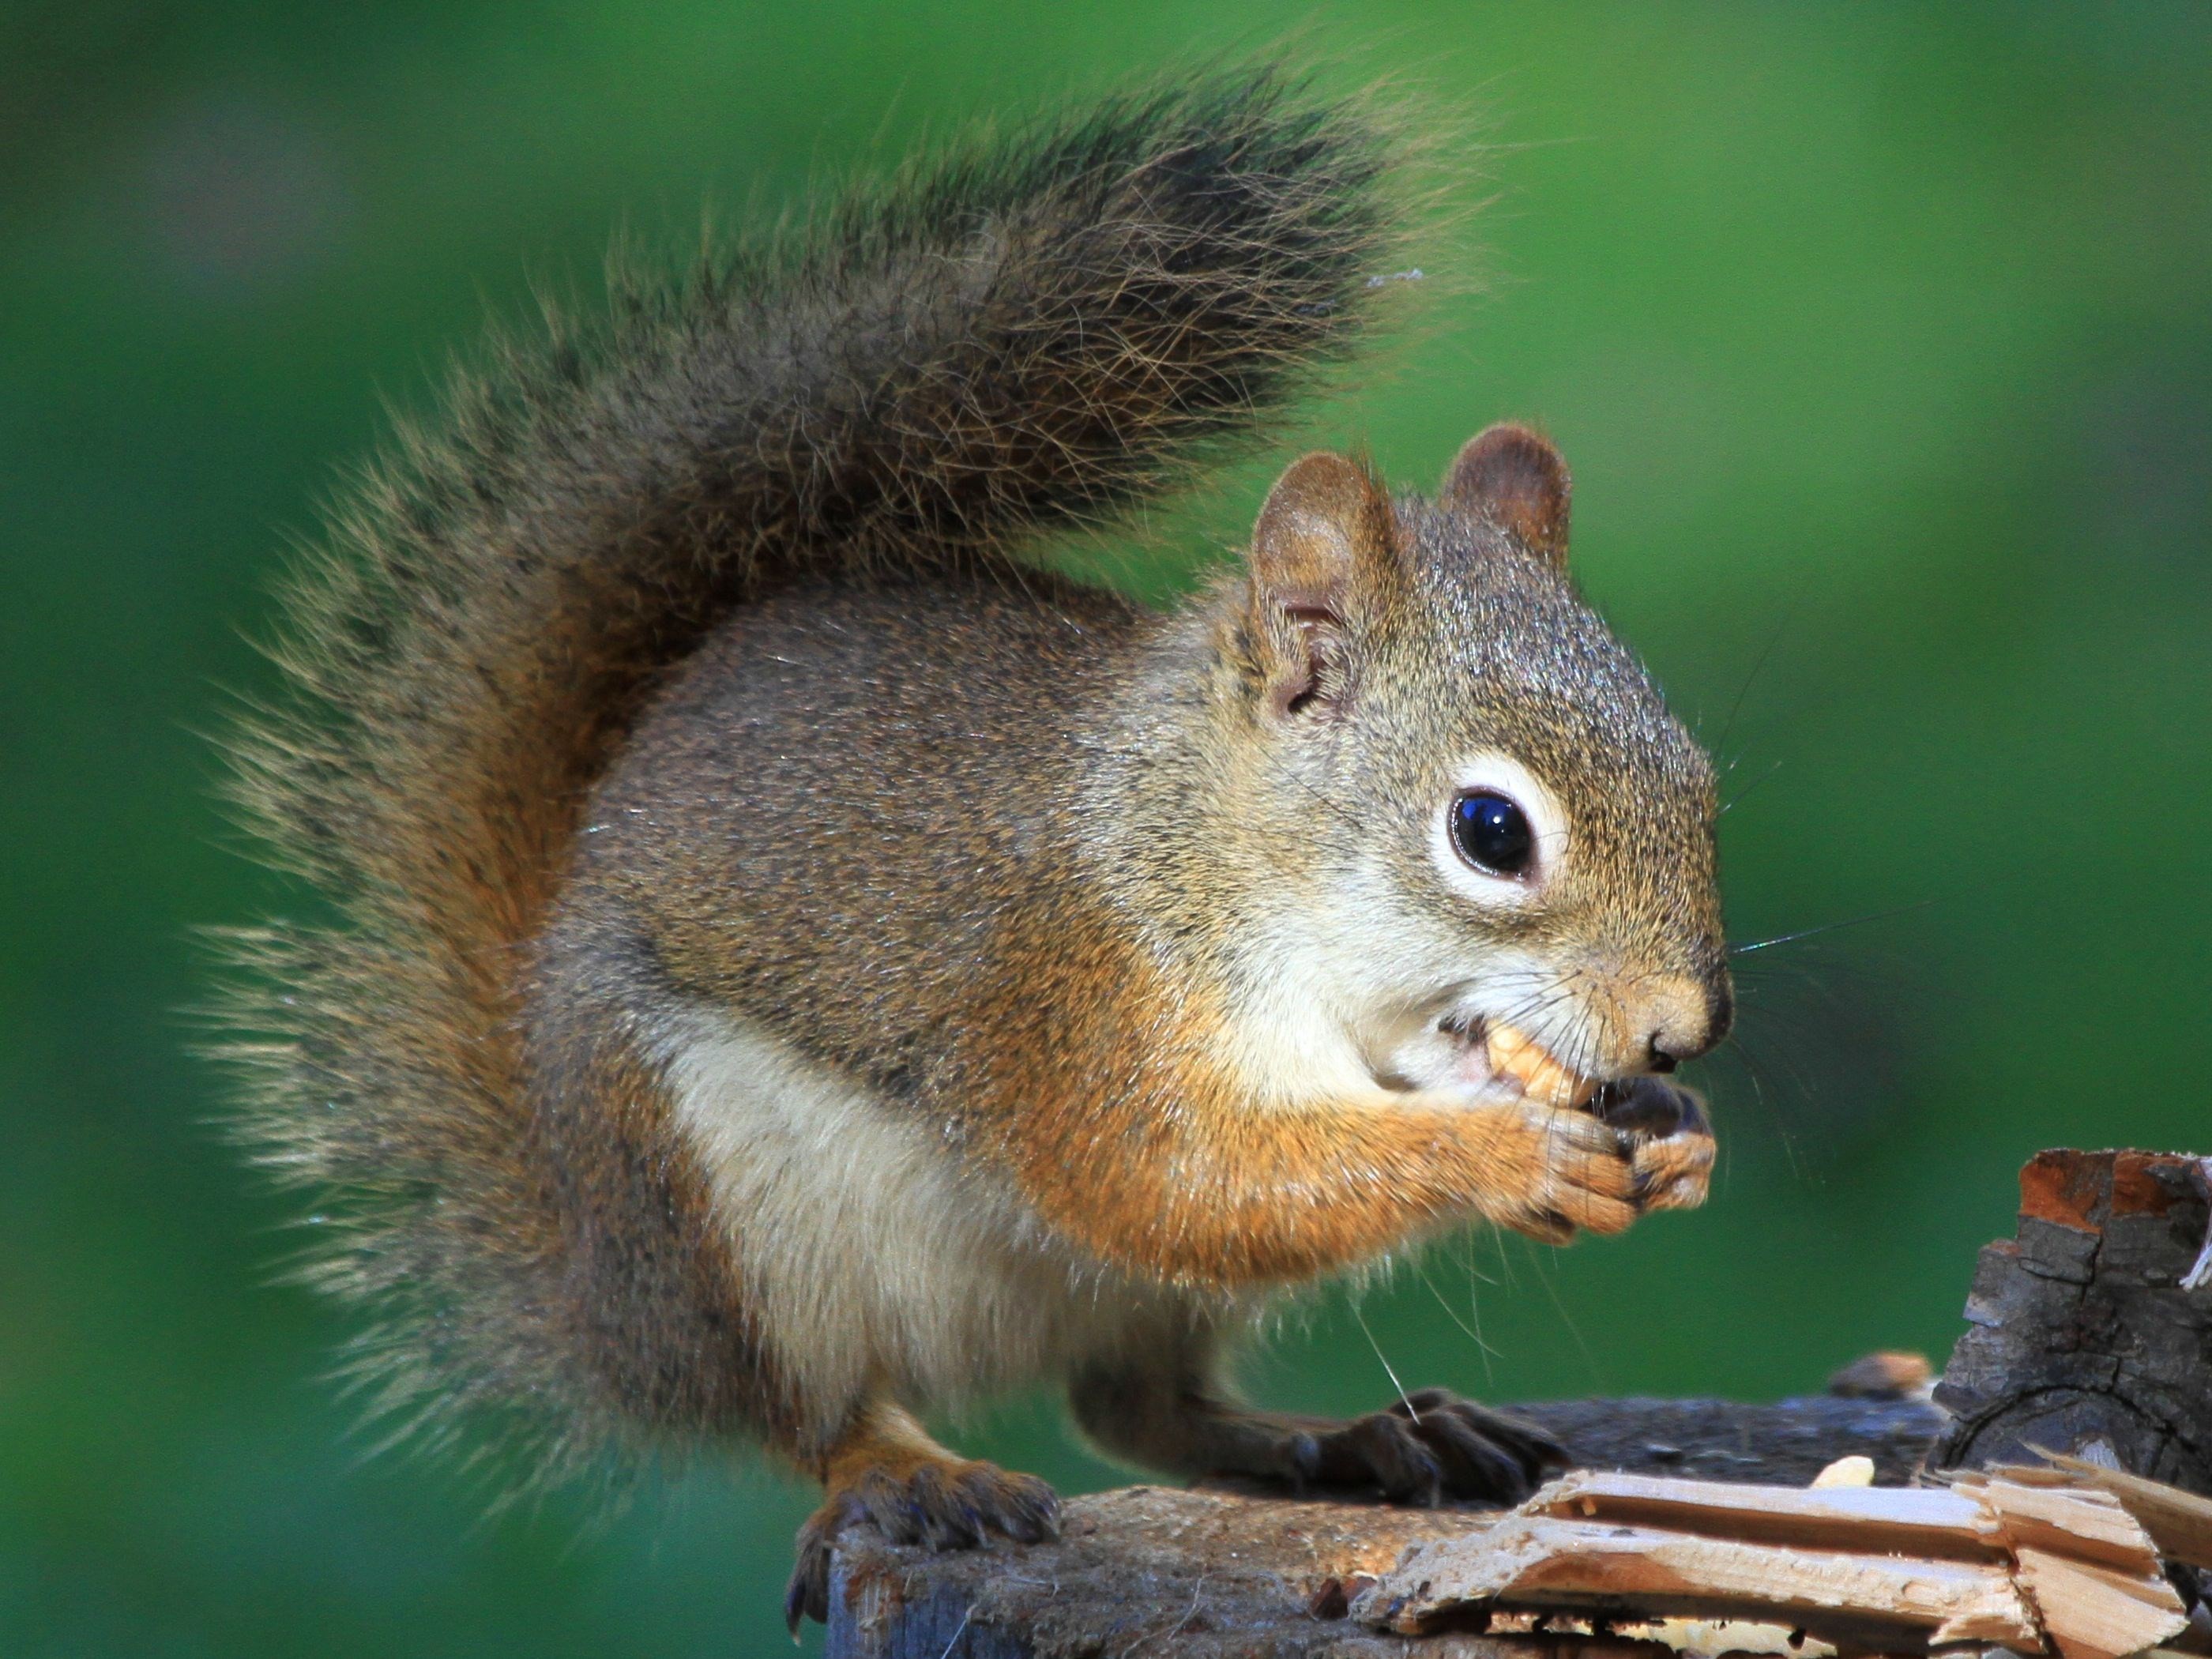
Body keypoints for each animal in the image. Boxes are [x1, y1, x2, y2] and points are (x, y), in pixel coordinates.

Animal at [219, 66, 1730, 1628]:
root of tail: (607, 1300)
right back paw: (913, 1471)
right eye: (1490, 833)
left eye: (1699, 779)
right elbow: (1174, 1175)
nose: (1686, 1028)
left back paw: (1353, 1437)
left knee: (1140, 1409)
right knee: (816, 1412)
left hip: (1125, 1306)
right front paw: (1507, 1158)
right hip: (723, 1206)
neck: (1212, 844)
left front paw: (1673, 1136)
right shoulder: (1070, 992)